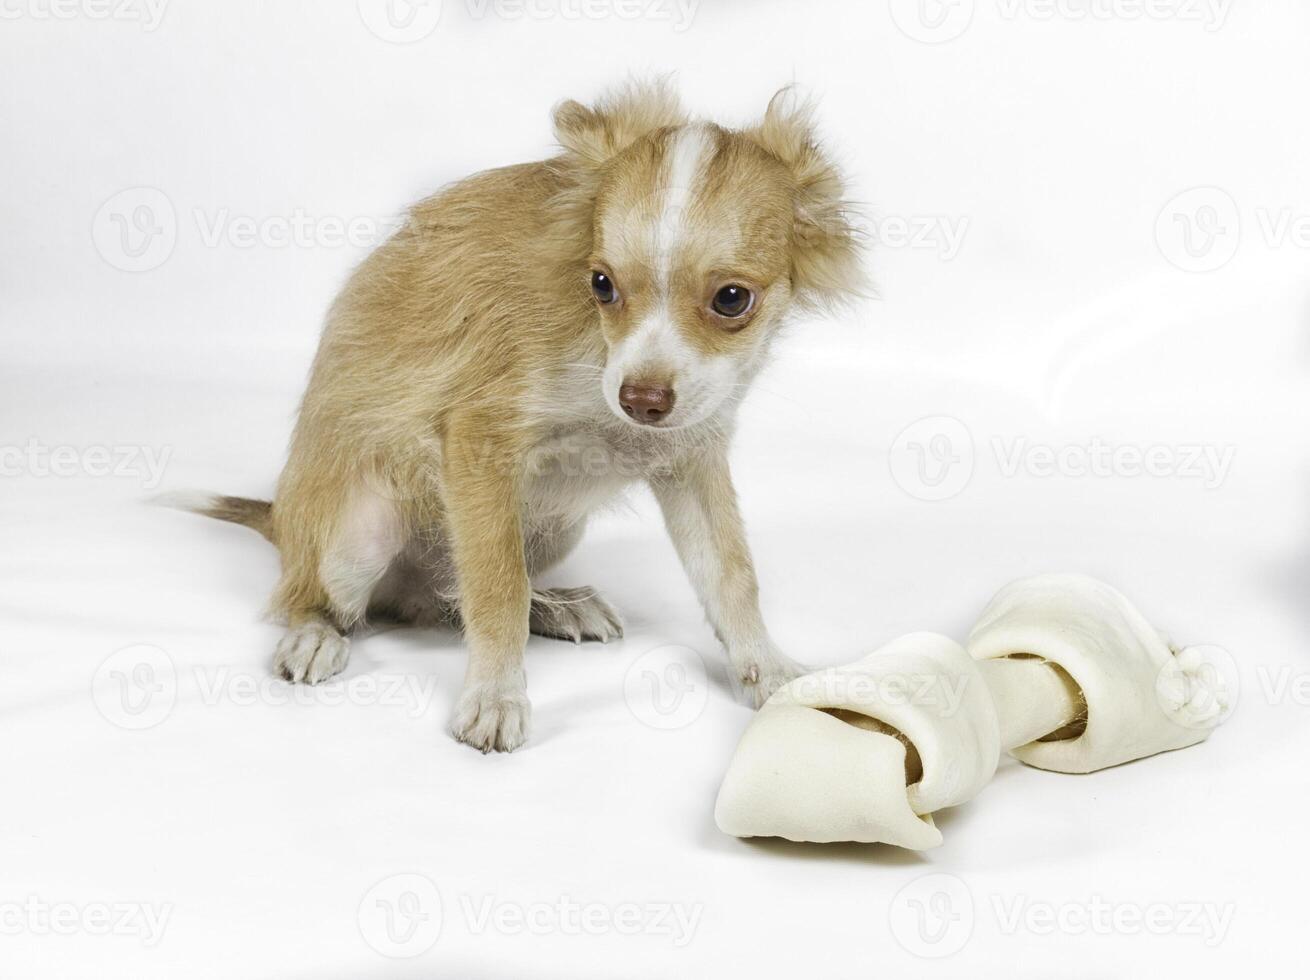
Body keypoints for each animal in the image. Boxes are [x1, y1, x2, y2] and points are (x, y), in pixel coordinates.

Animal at [179, 84, 864, 754]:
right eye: (601, 284)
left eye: (732, 300)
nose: (640, 401)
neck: (599, 360)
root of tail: (281, 521)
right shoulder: (477, 442)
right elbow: (496, 588)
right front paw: (496, 697)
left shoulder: (691, 457)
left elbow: (730, 575)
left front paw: (767, 670)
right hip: (356, 537)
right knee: (324, 600)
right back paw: (317, 634)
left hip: (555, 528)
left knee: (445, 598)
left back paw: (554, 605)